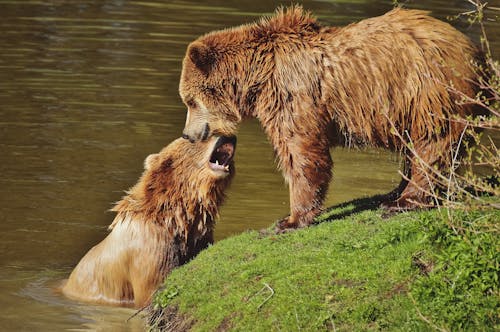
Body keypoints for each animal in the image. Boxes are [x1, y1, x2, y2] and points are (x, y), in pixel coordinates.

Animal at [61, 136, 236, 308]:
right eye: (202, 137)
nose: (227, 137)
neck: (174, 219)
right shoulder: (150, 248)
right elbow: (153, 290)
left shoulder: (198, 240)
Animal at [179, 7, 484, 231]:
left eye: (189, 101)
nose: (188, 134)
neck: (260, 76)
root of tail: (473, 51)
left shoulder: (294, 96)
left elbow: (301, 153)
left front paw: (290, 220)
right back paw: (394, 192)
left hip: (428, 90)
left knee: (432, 143)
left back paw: (405, 200)